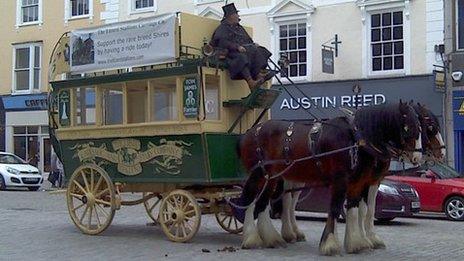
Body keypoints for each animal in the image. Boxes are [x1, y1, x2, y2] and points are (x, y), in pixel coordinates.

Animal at [237, 100, 422, 254]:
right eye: (408, 128)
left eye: (421, 129)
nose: (417, 157)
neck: (355, 139)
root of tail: (250, 132)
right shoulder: (341, 180)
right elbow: (335, 208)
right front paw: (330, 244)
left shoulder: (359, 182)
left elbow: (355, 210)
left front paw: (356, 242)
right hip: (259, 174)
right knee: (251, 200)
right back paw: (252, 237)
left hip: (273, 177)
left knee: (262, 203)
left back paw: (271, 237)